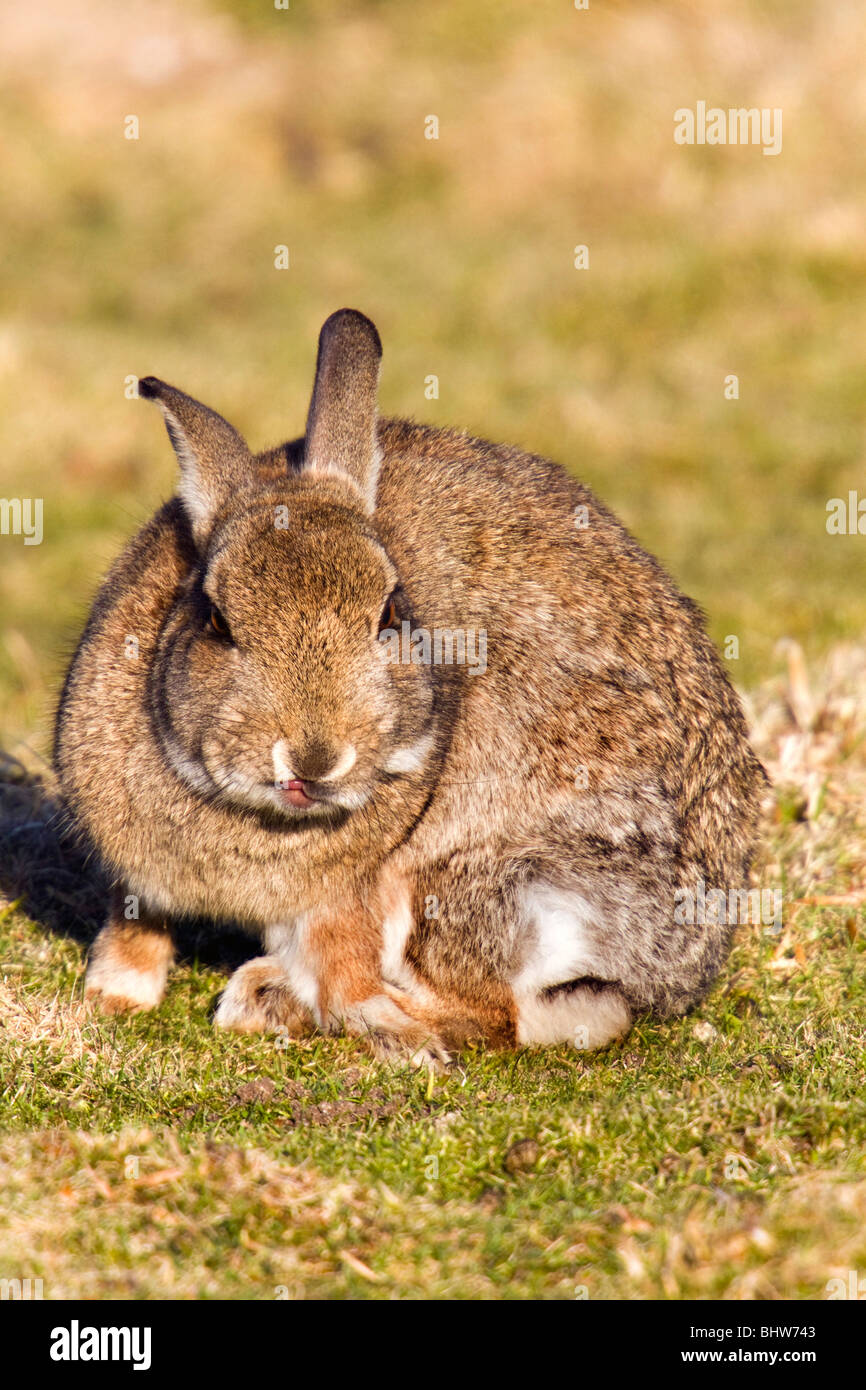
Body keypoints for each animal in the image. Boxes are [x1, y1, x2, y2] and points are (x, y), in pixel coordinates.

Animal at [54, 308, 766, 1067]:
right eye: (216, 620)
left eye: (390, 614)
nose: (314, 758)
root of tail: (679, 967)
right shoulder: (138, 871)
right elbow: (136, 924)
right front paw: (114, 996)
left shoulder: (356, 891)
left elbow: (348, 971)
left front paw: (384, 1029)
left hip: (475, 884)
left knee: (501, 1015)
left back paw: (287, 1003)